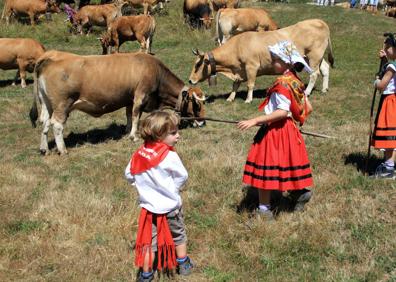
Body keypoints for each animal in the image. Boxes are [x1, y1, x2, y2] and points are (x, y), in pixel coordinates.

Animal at [30, 51, 207, 155]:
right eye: (197, 105)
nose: (204, 122)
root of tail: (49, 57)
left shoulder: (129, 98)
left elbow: (129, 115)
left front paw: (127, 130)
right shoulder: (140, 95)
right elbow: (136, 115)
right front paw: (133, 136)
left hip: (47, 103)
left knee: (45, 122)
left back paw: (44, 148)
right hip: (63, 104)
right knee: (57, 125)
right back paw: (62, 149)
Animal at [189, 17, 334, 101]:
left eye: (197, 64)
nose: (190, 80)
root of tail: (319, 21)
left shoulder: (251, 66)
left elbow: (250, 84)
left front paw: (248, 99)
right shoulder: (239, 70)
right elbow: (235, 84)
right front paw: (230, 98)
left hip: (313, 56)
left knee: (314, 74)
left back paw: (307, 92)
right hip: (314, 58)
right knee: (325, 69)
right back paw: (324, 89)